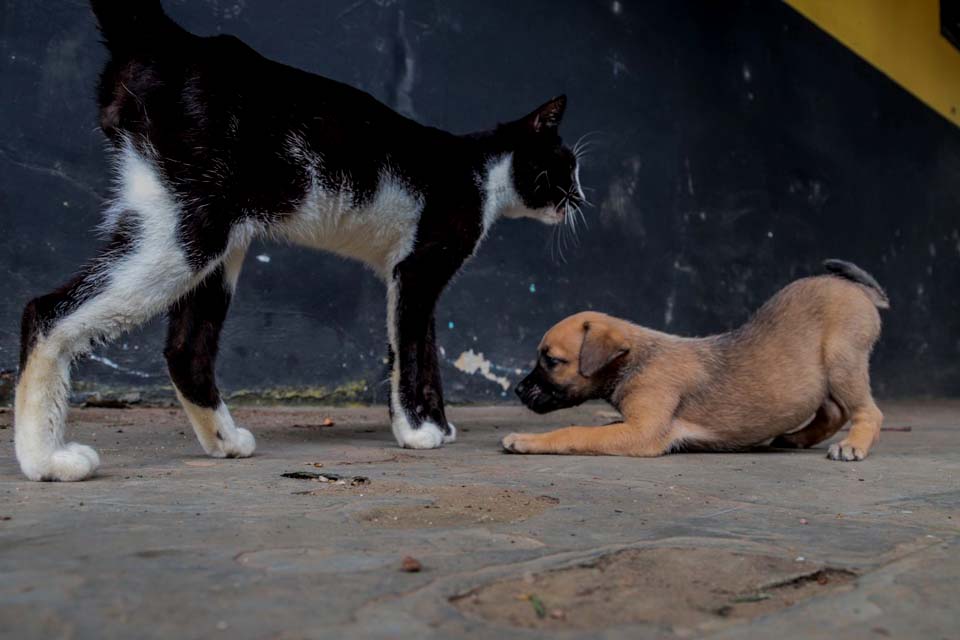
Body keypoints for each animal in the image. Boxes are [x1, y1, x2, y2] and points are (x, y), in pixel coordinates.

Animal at [15, 0, 584, 480]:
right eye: (565, 167)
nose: (580, 198)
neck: (481, 171)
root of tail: (177, 41)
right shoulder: (417, 270)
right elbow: (410, 354)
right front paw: (417, 431)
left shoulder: (416, 278)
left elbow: (427, 350)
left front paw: (439, 425)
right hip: (188, 234)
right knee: (47, 312)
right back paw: (45, 460)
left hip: (216, 242)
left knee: (185, 351)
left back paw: (225, 443)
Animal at [506, 260, 888, 460]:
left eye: (552, 360)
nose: (517, 391)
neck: (637, 359)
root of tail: (856, 287)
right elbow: (596, 428)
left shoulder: (642, 433)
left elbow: (577, 431)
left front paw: (526, 440)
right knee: (834, 411)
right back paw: (796, 439)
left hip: (842, 361)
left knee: (867, 411)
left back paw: (853, 446)